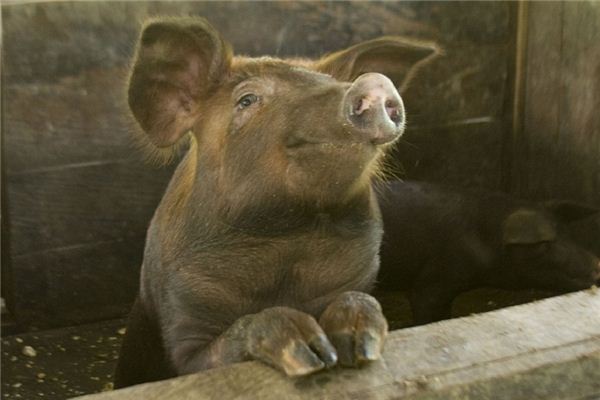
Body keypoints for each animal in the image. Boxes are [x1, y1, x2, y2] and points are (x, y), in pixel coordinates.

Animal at [113, 16, 440, 388]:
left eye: (334, 82)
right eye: (247, 100)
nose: (372, 82)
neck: (286, 240)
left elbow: (361, 298)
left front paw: (359, 343)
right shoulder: (182, 322)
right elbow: (212, 356)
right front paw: (309, 352)